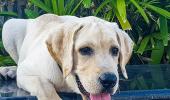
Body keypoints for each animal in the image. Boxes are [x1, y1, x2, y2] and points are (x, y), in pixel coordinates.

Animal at [1, 13, 133, 99]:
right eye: (85, 50)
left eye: (115, 50)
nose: (109, 80)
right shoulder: (26, 71)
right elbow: (44, 86)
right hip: (9, 25)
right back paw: (9, 70)